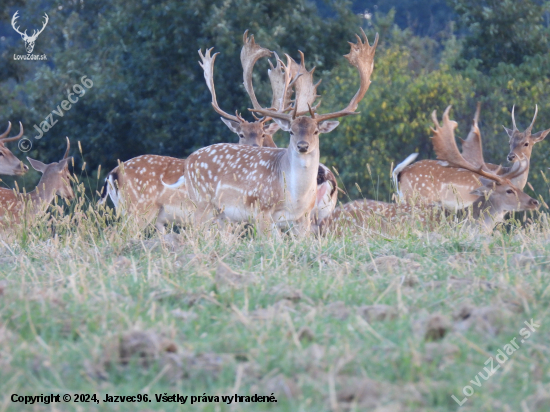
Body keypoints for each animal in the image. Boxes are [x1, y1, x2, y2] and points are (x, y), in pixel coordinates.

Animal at [164, 29, 380, 235]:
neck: (295, 197)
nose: (303, 146)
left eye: (316, 131)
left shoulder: (303, 217)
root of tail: (189, 160)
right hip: (202, 203)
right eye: (291, 131)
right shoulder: (262, 210)